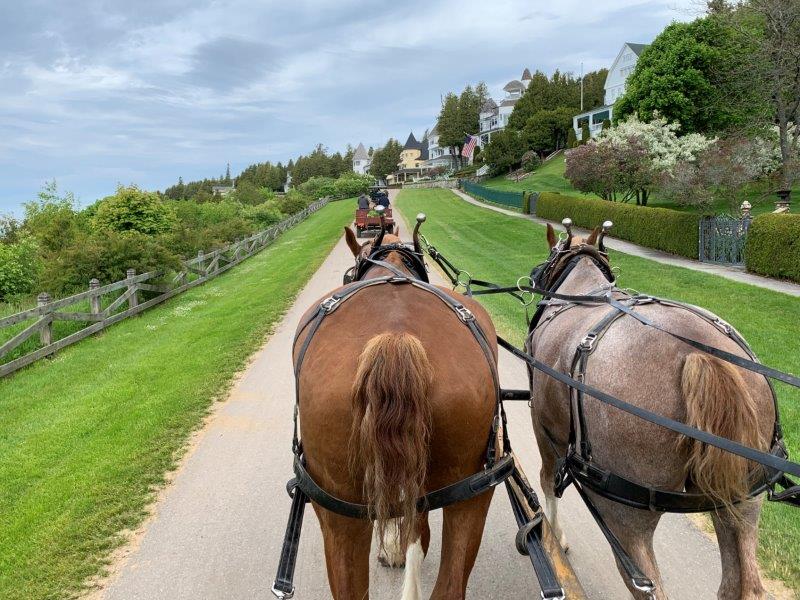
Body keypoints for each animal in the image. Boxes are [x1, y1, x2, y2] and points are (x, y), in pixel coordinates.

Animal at [528, 223, 780, 600]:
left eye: (551, 255)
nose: (533, 276)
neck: (582, 292)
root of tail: (699, 356)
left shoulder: (544, 427)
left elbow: (546, 480)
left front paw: (555, 537)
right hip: (743, 496)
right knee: (741, 582)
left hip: (624, 512)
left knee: (646, 582)